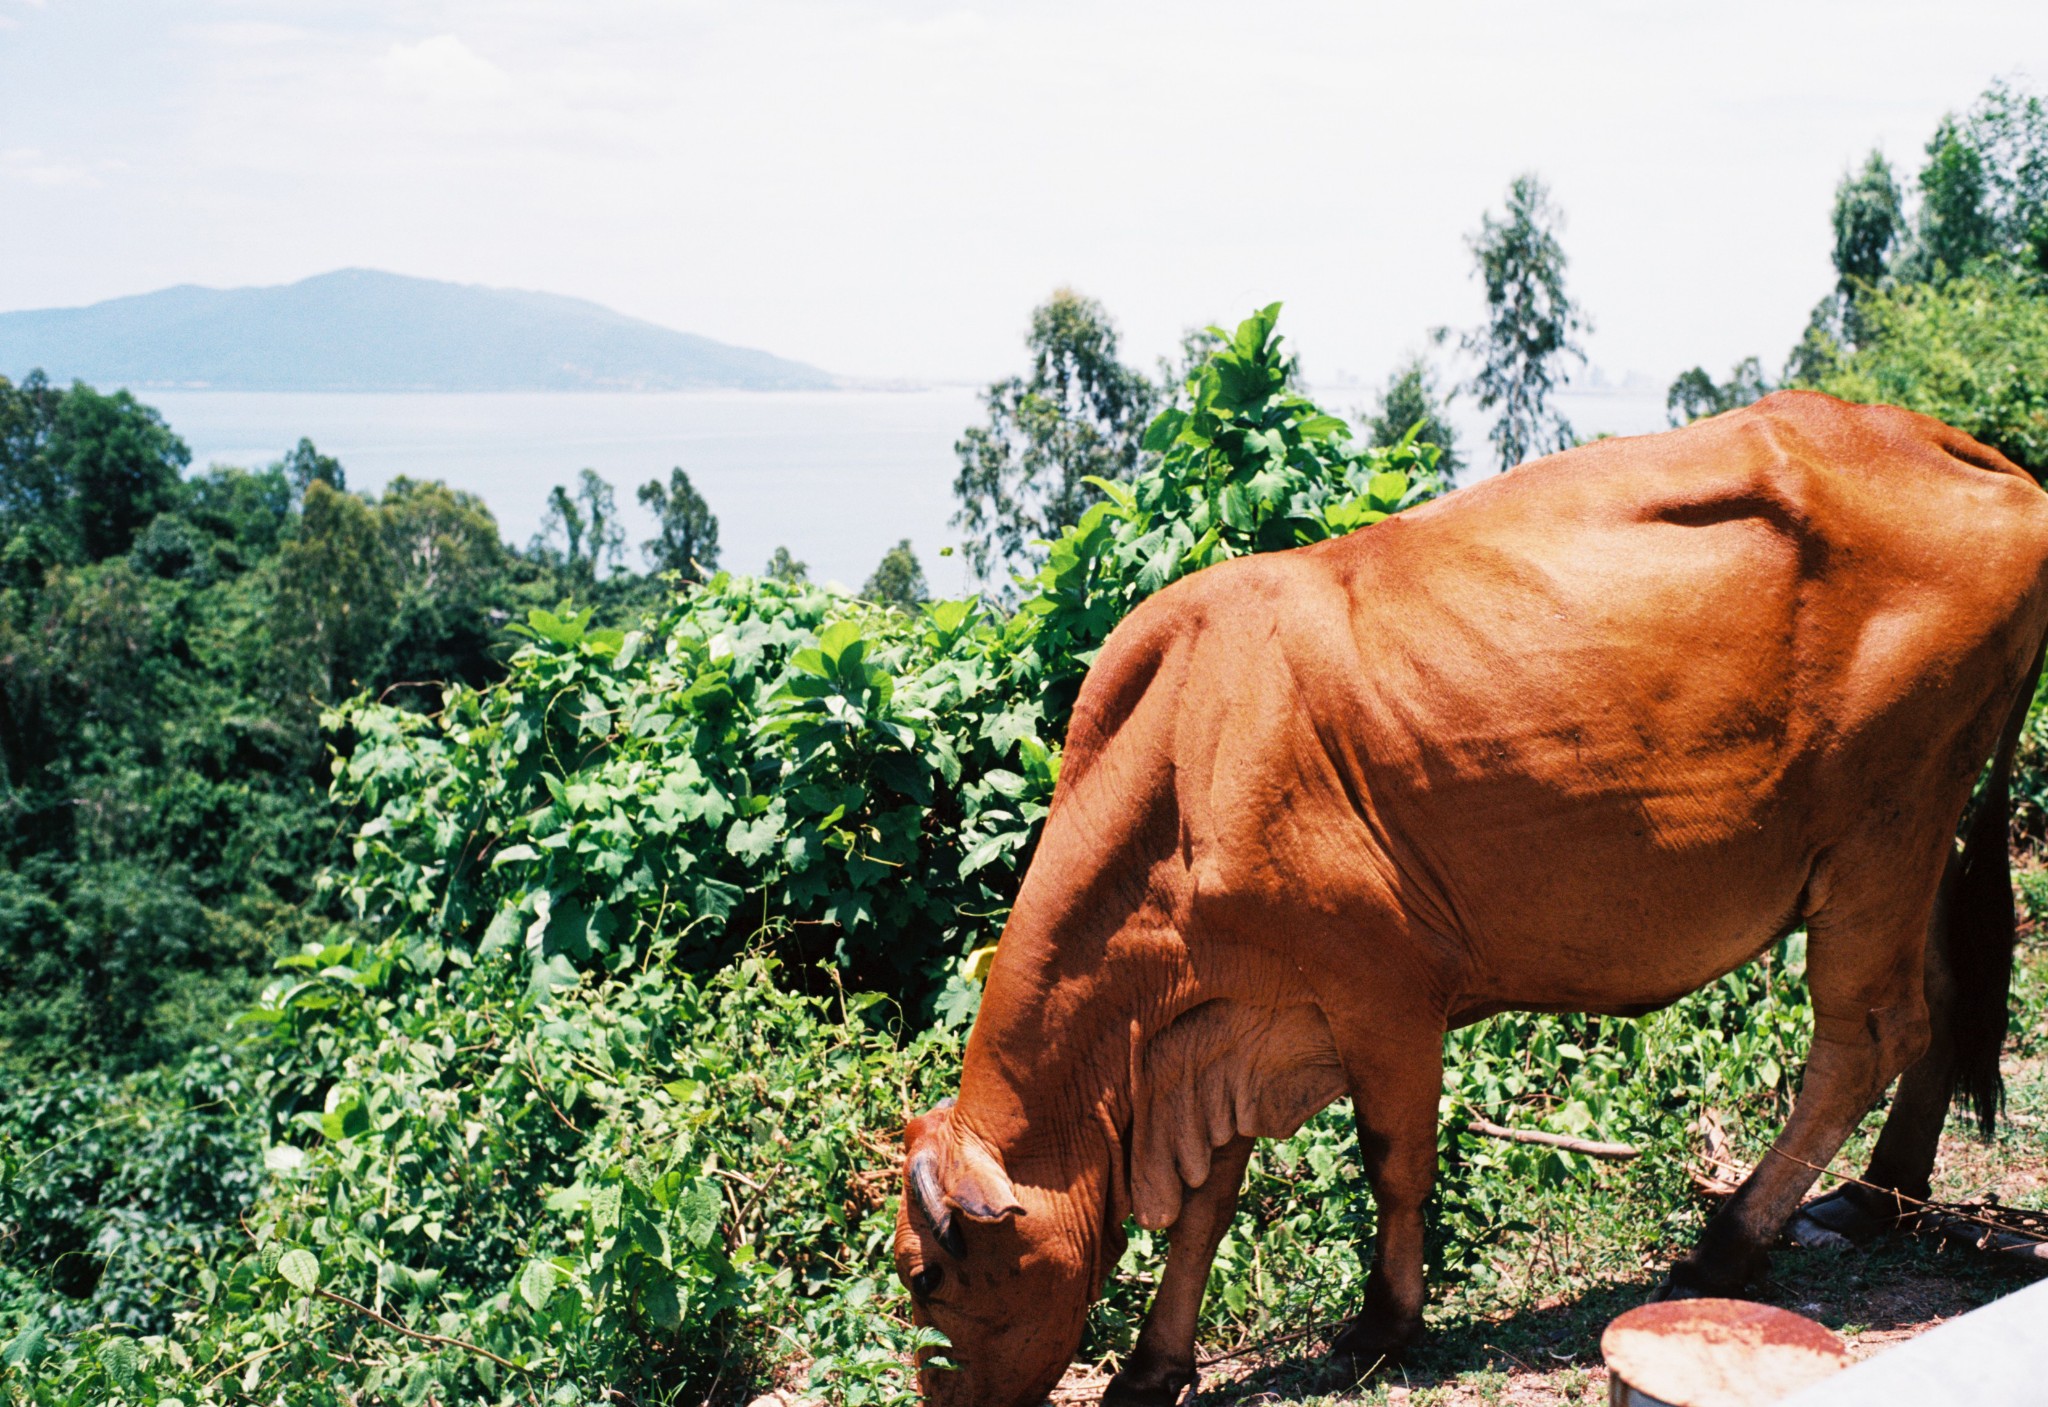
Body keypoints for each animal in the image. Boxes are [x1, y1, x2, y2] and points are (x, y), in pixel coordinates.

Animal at [892, 387, 2048, 1407]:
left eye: (923, 1274)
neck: (1184, 761)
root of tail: (1957, 450)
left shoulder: (1381, 991)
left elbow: (1393, 1162)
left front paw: (1381, 1324)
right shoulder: (1227, 1022)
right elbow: (1205, 1207)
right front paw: (1150, 1367)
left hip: (1880, 828)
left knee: (1867, 1034)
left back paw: (1729, 1242)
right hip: (1917, 832)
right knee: (1941, 997)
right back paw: (1875, 1197)